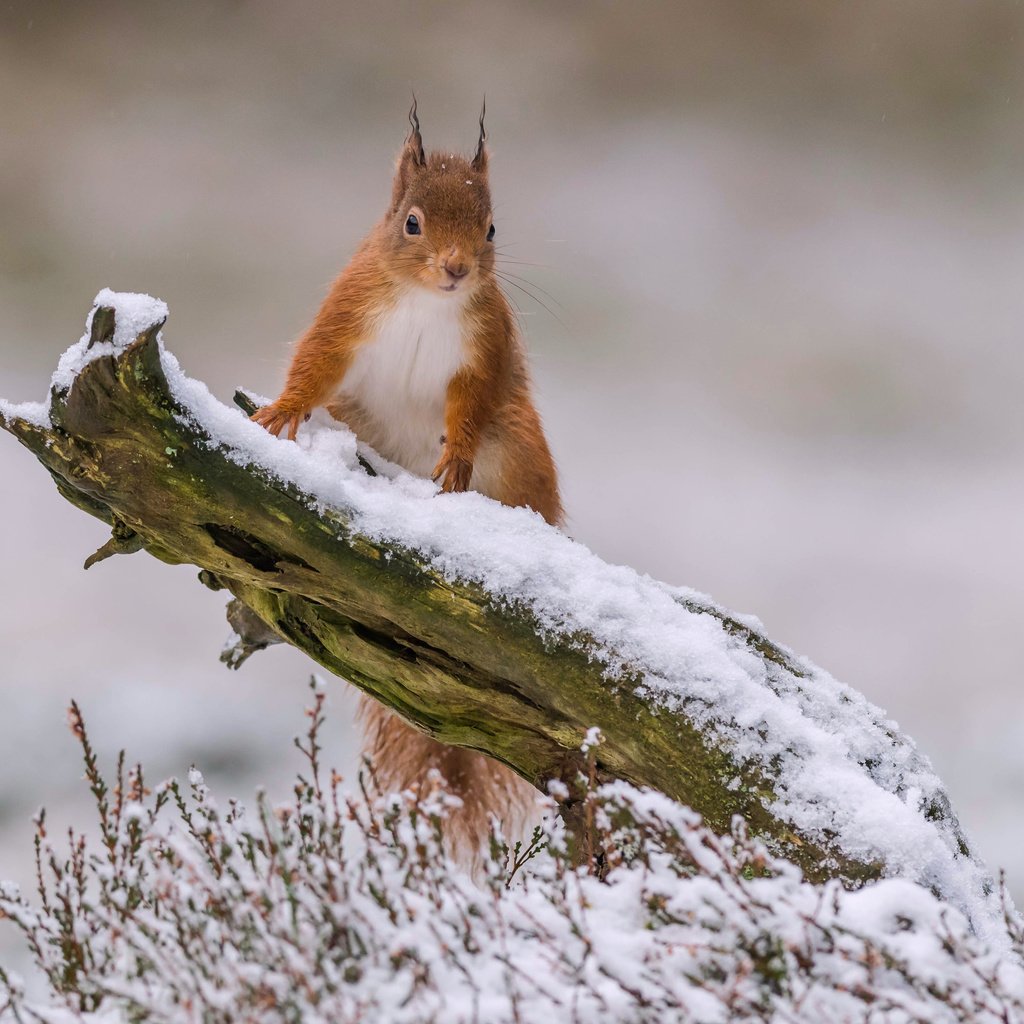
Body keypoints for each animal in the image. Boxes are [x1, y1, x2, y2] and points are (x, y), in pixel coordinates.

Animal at [252, 103, 565, 856]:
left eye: (491, 228)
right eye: (411, 223)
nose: (457, 269)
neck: (427, 301)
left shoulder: (484, 351)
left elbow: (468, 407)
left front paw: (455, 459)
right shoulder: (347, 311)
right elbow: (315, 363)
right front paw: (281, 411)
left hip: (519, 446)